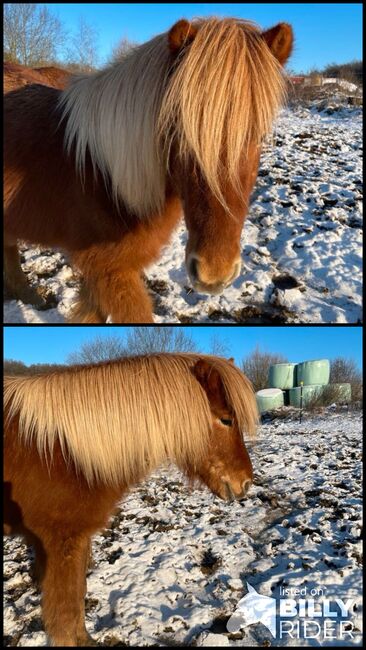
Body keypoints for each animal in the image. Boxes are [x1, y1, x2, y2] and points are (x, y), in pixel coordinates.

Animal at [4, 352, 258, 644]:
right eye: (226, 419)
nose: (246, 483)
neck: (64, 454)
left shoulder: (73, 543)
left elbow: (79, 595)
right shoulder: (60, 544)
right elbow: (66, 615)